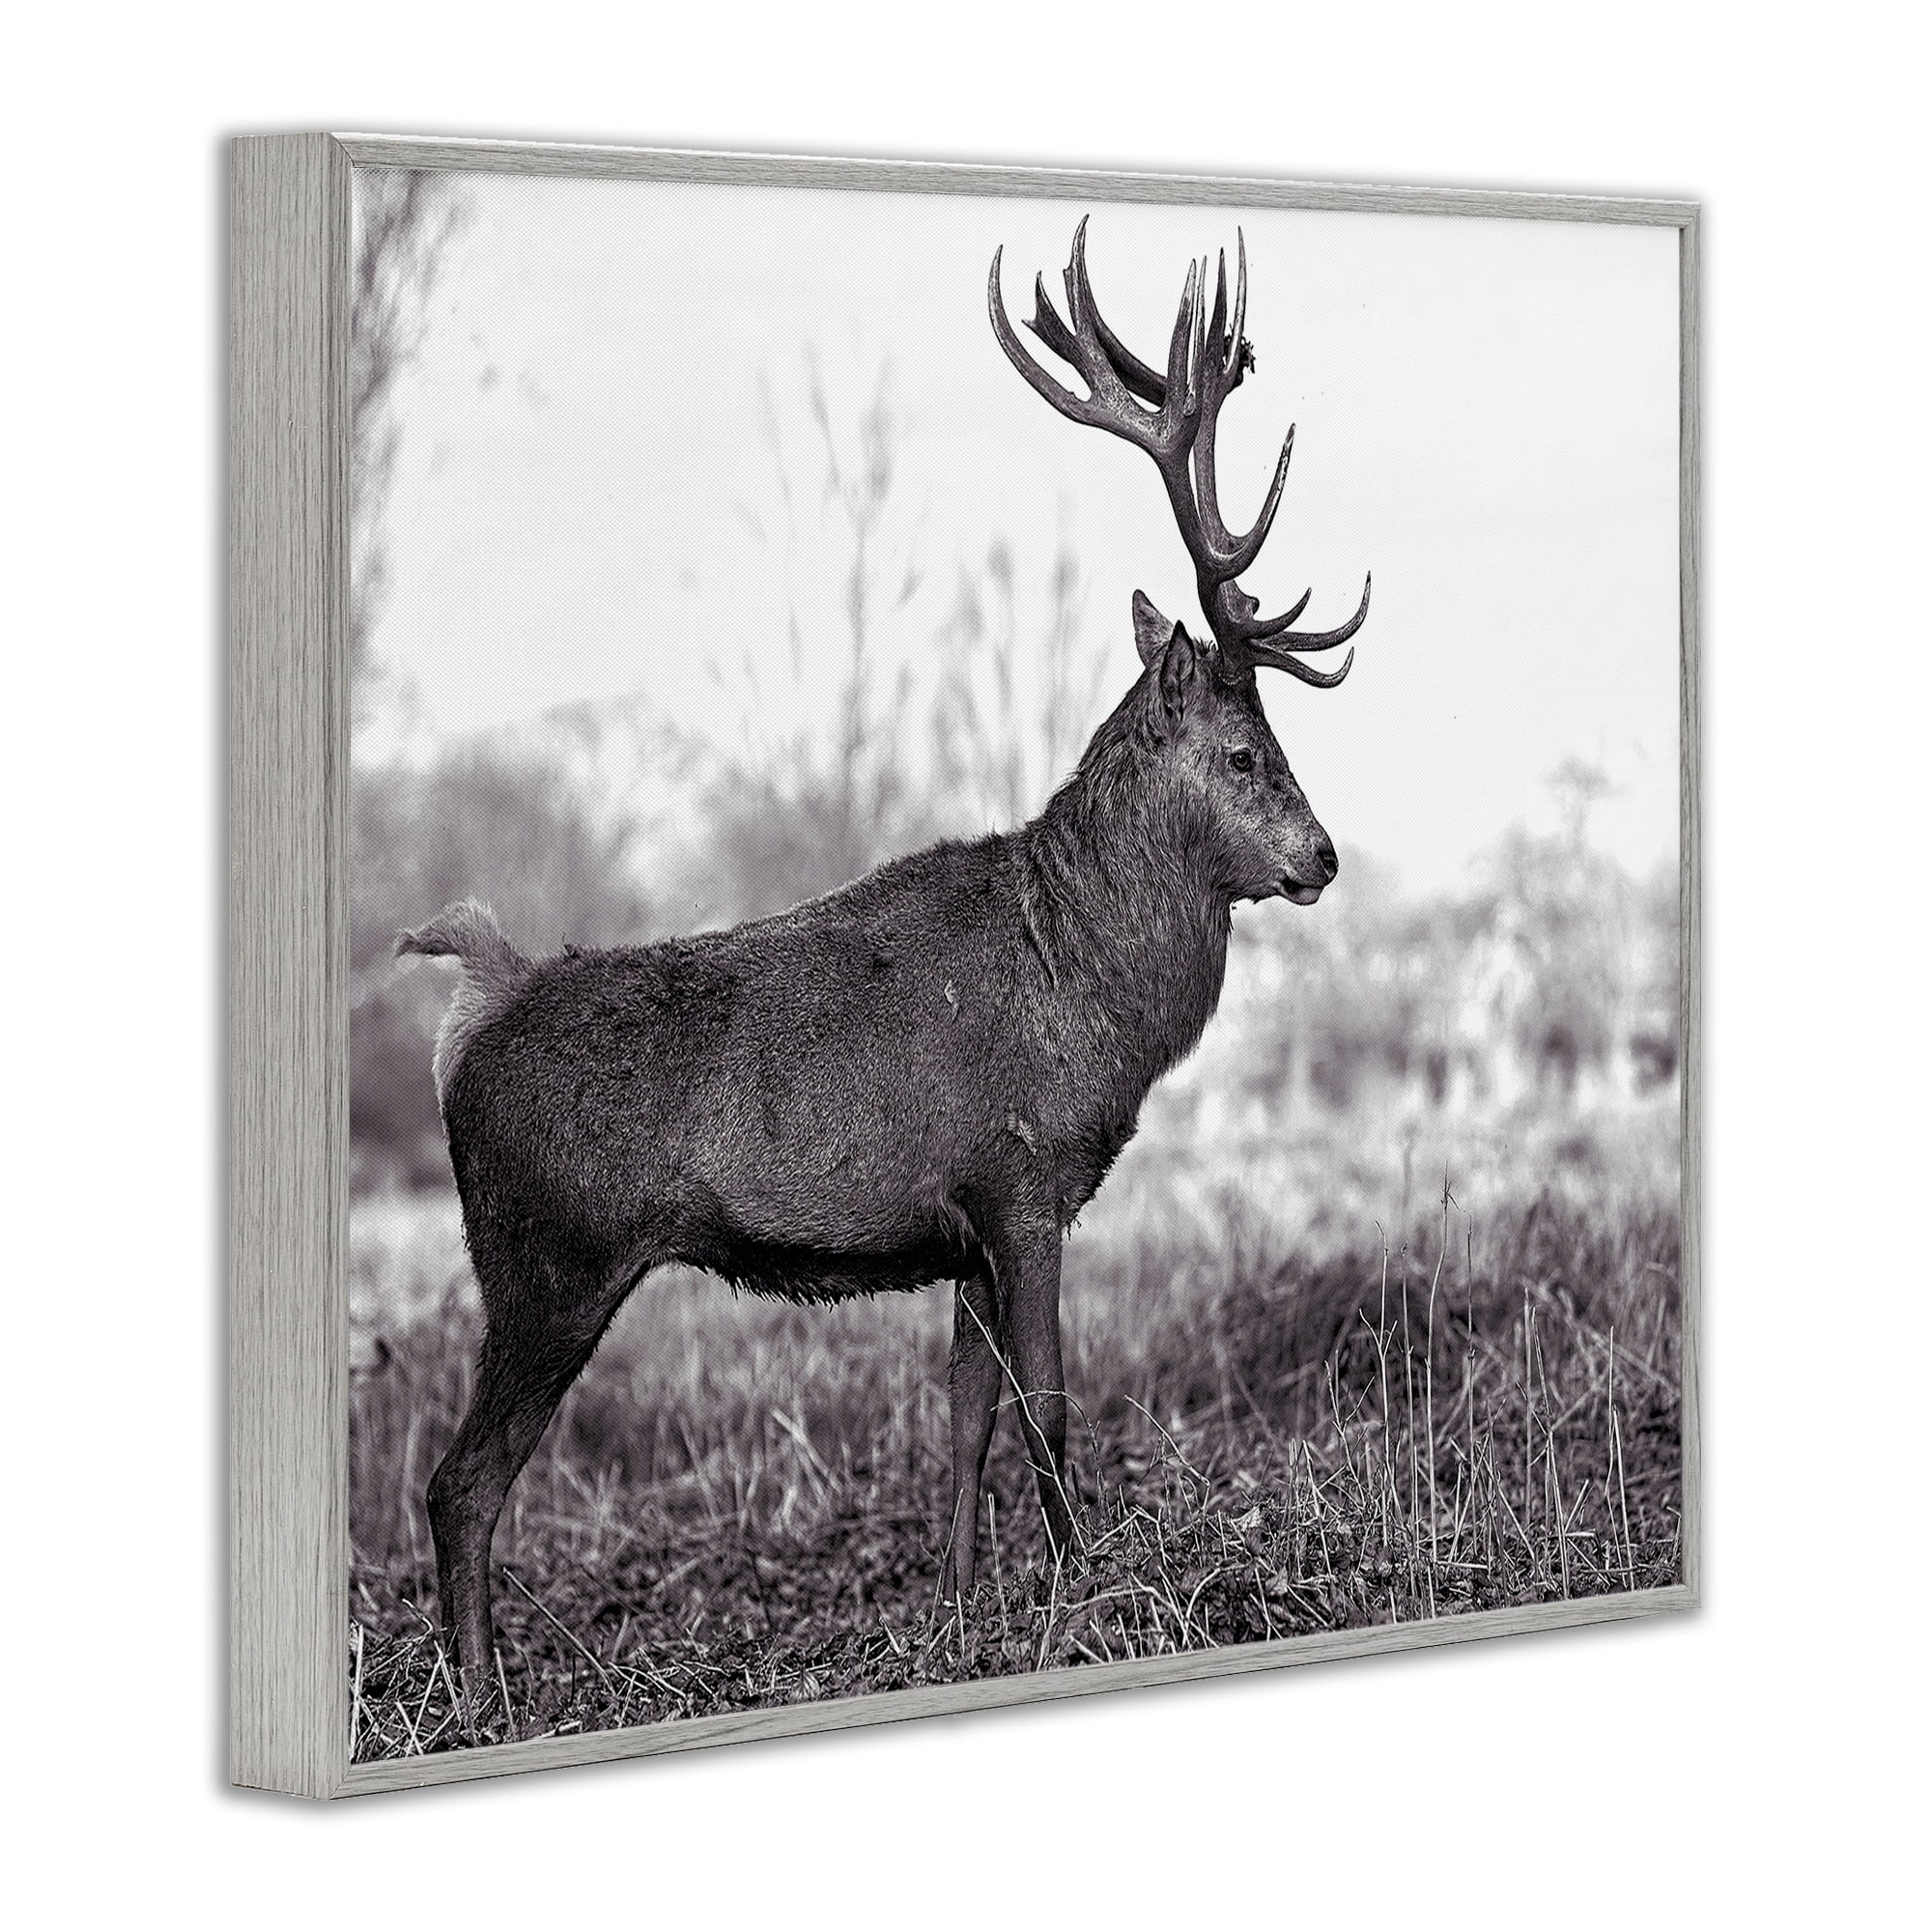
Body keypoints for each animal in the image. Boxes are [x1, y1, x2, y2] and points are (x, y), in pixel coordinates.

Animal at [397, 217, 1369, 1706]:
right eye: (1245, 751)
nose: (1320, 858)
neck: (1089, 993)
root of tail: (472, 1005)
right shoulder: (1024, 1183)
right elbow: (1048, 1406)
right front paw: (1086, 1593)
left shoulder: (959, 1223)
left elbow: (962, 1414)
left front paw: (960, 1613)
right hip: (543, 1257)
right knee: (459, 1483)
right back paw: (483, 1700)